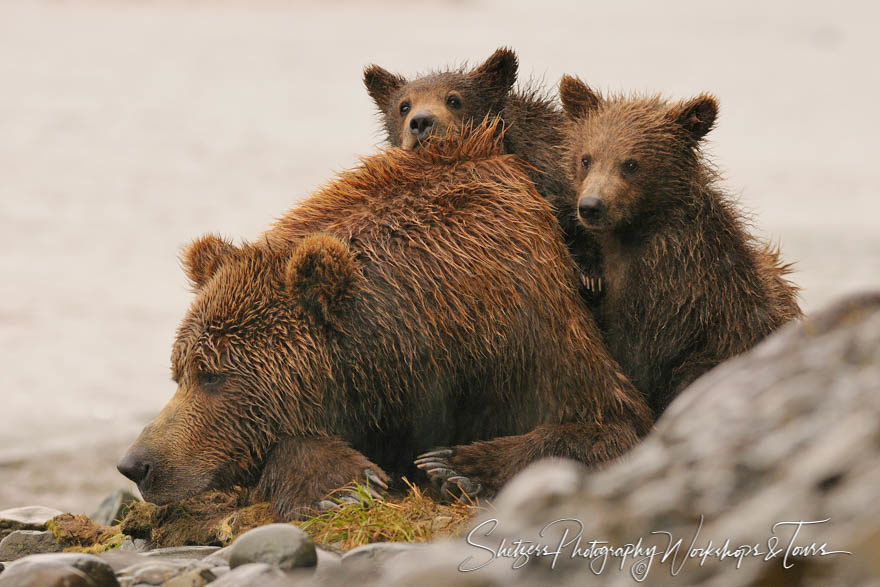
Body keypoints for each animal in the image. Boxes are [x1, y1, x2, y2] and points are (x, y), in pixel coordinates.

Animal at [117, 124, 652, 520]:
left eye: (213, 375)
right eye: (178, 372)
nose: (136, 464)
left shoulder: (531, 331)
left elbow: (608, 424)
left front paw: (456, 465)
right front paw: (340, 484)